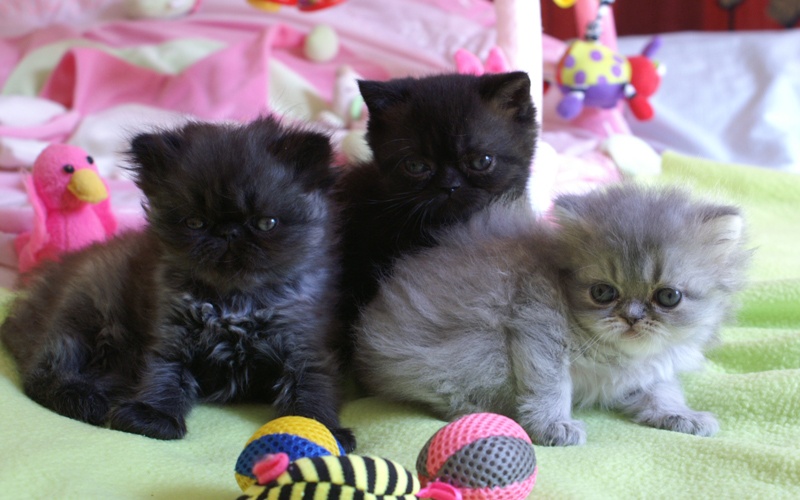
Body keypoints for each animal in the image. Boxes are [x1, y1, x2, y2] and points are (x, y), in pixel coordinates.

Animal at [0, 116, 356, 450]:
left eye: (266, 223)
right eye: (195, 222)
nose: (228, 232)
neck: (234, 301)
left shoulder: (305, 342)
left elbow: (312, 386)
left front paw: (324, 429)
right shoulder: (170, 333)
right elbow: (164, 374)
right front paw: (153, 417)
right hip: (81, 314)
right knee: (41, 373)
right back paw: (86, 399)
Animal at [354, 185, 752, 446]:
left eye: (668, 297)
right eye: (603, 293)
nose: (632, 317)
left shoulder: (647, 371)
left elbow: (662, 392)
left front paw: (681, 416)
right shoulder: (537, 330)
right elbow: (550, 388)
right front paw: (553, 426)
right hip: (466, 350)